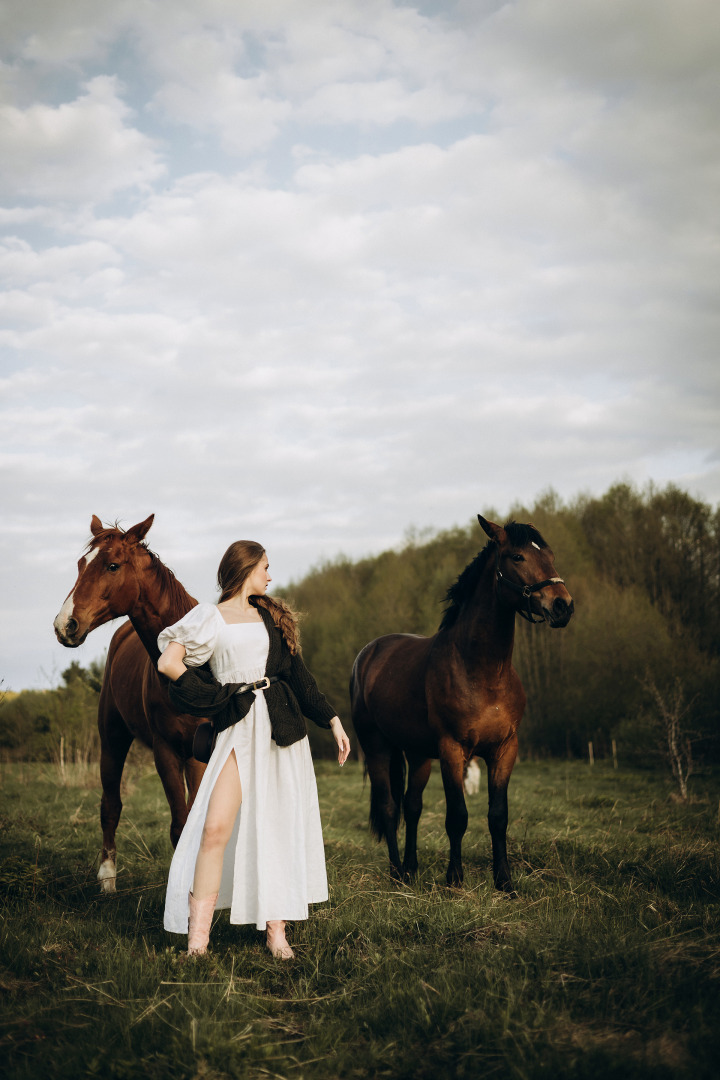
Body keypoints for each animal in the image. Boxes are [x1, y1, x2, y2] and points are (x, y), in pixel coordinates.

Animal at [53, 514, 202, 894]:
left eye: (112, 565)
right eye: (81, 565)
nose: (64, 625)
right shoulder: (165, 750)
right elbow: (180, 826)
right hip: (112, 739)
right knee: (110, 806)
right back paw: (107, 878)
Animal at [349, 514, 574, 894]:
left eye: (551, 555)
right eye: (517, 557)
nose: (563, 605)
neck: (482, 671)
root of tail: (369, 653)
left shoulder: (504, 750)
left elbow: (498, 816)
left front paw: (505, 882)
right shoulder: (453, 750)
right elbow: (457, 817)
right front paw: (455, 879)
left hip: (418, 754)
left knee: (412, 806)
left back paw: (411, 869)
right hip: (378, 746)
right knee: (390, 808)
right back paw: (396, 873)